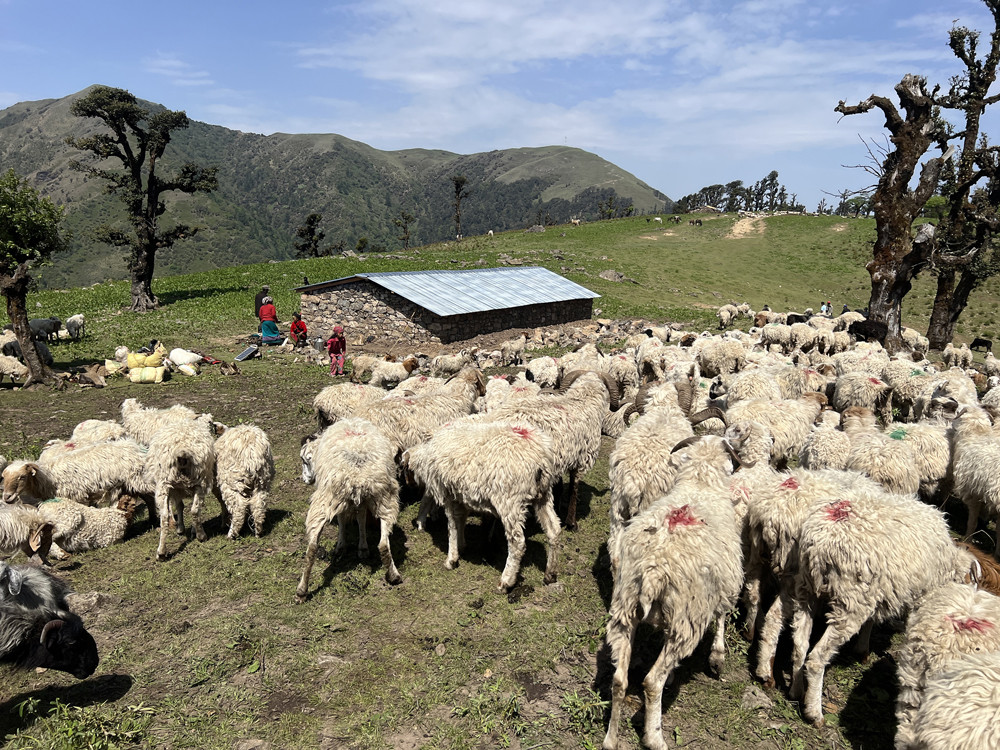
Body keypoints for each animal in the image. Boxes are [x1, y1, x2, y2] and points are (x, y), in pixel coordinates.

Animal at [294, 418, 404, 604]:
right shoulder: (361, 502)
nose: (305, 480)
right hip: (386, 498)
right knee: (383, 543)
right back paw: (393, 575)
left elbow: (342, 520)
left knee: (312, 547)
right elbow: (361, 519)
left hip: (325, 500)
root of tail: (357, 473)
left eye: (304, 460)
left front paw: (341, 545)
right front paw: (363, 548)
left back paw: (302, 590)